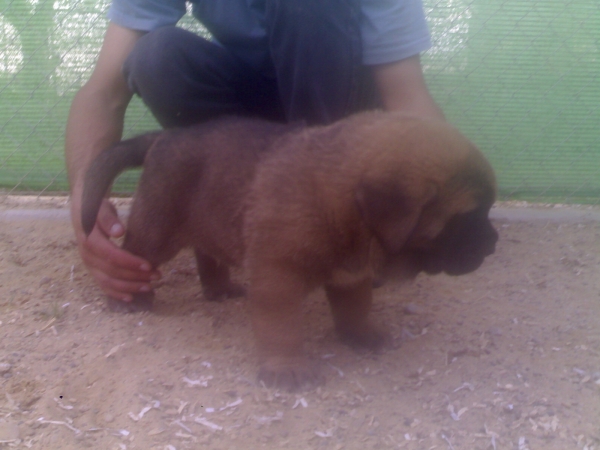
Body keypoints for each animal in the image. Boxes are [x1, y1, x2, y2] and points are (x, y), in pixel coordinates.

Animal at [83, 110, 496, 390]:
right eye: (469, 217)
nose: (492, 244)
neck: (339, 202)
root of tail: (166, 136)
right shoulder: (277, 278)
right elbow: (281, 327)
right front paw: (286, 367)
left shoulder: (351, 276)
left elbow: (355, 309)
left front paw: (360, 335)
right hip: (158, 227)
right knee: (136, 253)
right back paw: (128, 298)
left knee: (206, 253)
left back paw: (220, 288)